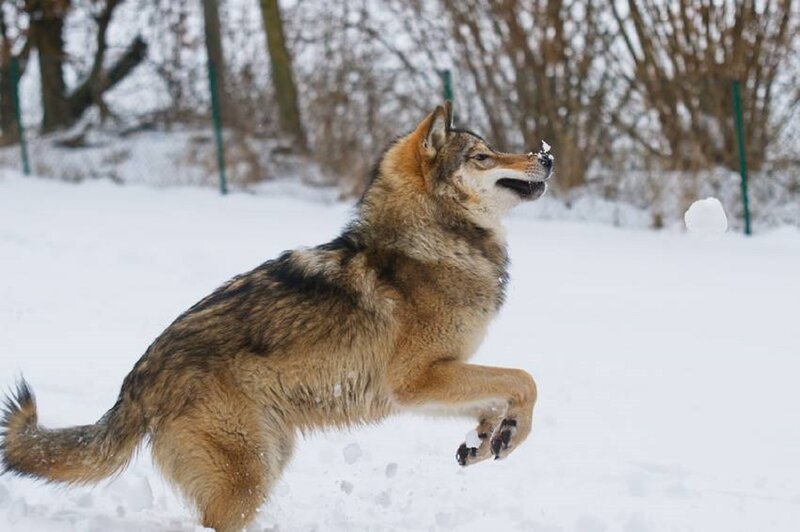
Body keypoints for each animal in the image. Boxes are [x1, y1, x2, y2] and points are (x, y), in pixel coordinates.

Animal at [1, 102, 553, 531]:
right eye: (483, 156)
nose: (545, 157)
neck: (430, 242)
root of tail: (135, 381)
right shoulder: (415, 380)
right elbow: (525, 379)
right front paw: (508, 432)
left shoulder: (436, 379)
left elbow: (502, 396)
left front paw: (490, 438)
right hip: (249, 479)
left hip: (268, 457)